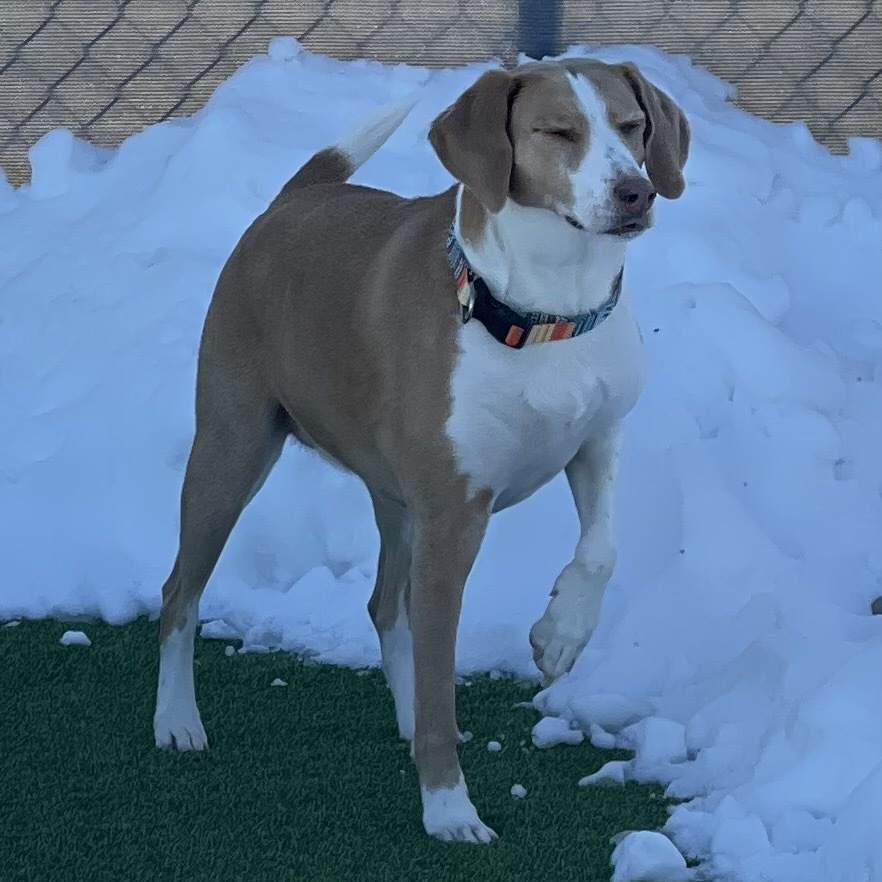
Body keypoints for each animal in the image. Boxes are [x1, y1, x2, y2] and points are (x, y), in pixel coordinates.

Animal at [151, 58, 688, 844]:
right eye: (558, 132)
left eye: (633, 126)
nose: (636, 193)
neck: (544, 309)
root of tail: (297, 196)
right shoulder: (453, 517)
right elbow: (440, 672)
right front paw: (448, 808)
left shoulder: (596, 438)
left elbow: (601, 549)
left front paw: (561, 633)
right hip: (231, 452)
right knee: (180, 593)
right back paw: (176, 719)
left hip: (394, 500)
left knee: (383, 605)